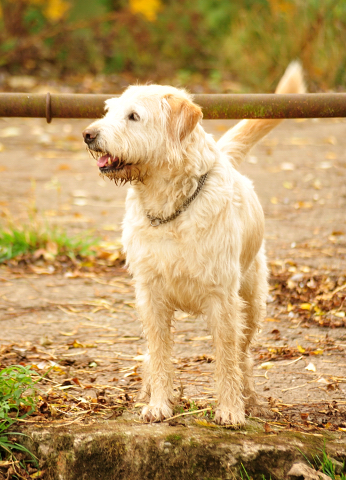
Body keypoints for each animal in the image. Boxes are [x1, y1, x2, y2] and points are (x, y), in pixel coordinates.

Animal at [83, 62, 306, 426]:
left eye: (133, 116)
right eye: (108, 111)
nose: (88, 134)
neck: (169, 206)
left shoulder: (223, 299)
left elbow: (227, 359)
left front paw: (230, 410)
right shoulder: (151, 295)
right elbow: (159, 354)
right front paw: (159, 403)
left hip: (252, 302)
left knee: (244, 354)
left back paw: (250, 400)